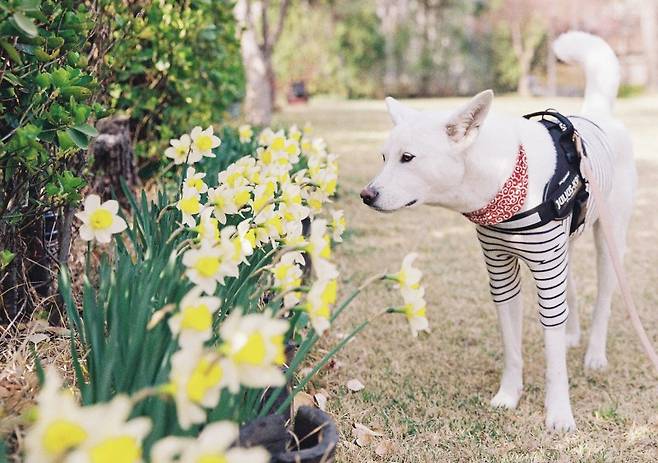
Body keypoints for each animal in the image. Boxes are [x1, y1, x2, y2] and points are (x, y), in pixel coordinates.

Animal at [362, 31, 632, 432]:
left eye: (407, 158)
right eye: (383, 157)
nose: (366, 195)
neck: (506, 179)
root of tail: (599, 114)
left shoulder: (545, 271)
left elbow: (554, 362)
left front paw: (559, 413)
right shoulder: (502, 273)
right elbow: (513, 349)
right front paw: (509, 396)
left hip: (608, 241)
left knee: (603, 300)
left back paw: (595, 354)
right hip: (564, 247)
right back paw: (571, 335)